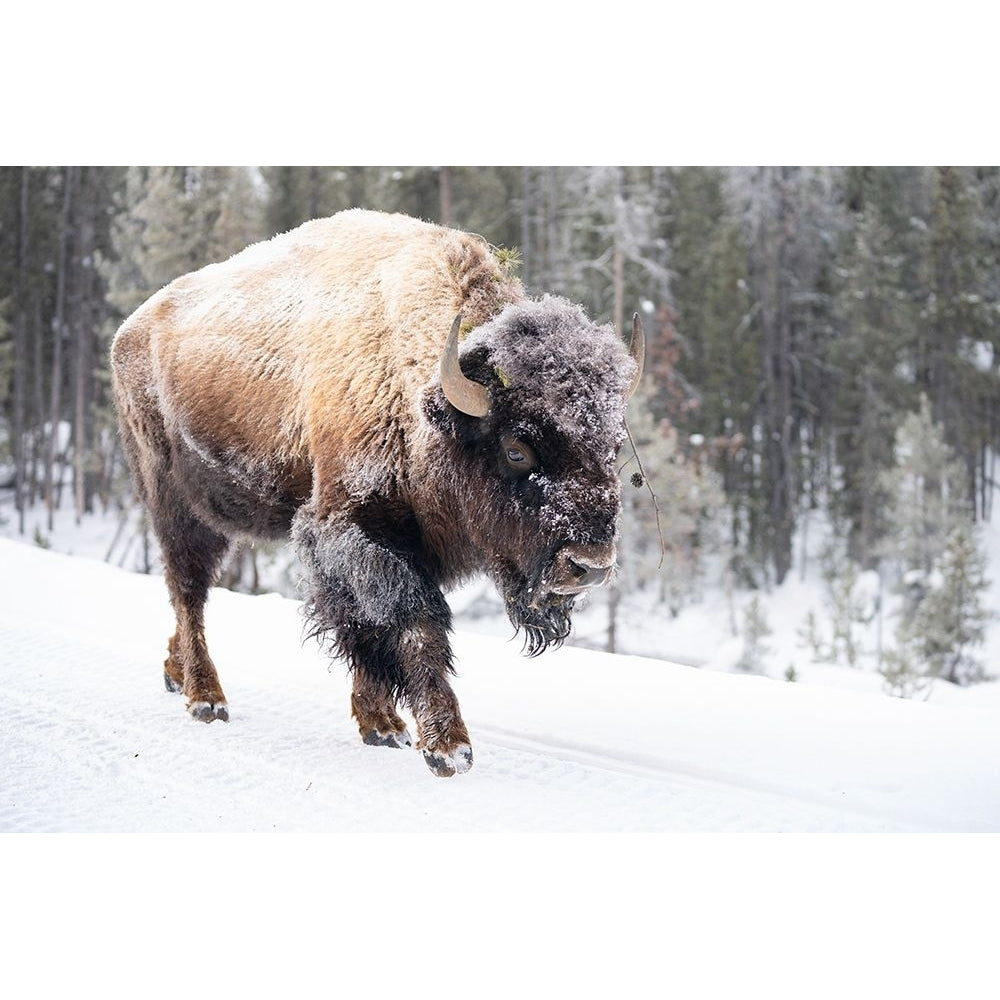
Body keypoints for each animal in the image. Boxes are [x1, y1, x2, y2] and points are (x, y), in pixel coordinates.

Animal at [109, 209, 640, 772]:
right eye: (517, 449)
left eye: (612, 446)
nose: (590, 565)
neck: (418, 392)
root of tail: (129, 330)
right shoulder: (352, 531)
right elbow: (411, 622)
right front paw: (446, 746)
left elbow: (370, 626)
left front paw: (382, 725)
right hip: (173, 502)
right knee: (188, 589)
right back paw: (206, 698)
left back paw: (176, 672)